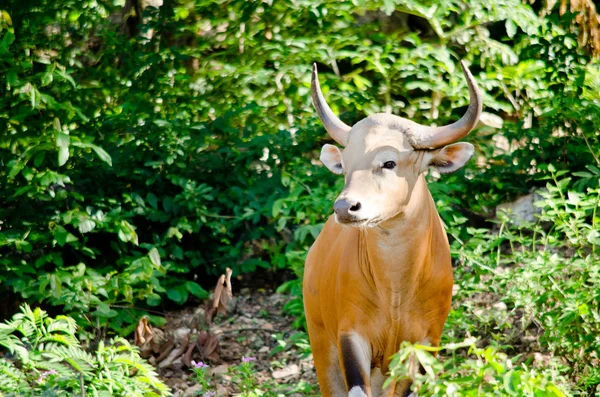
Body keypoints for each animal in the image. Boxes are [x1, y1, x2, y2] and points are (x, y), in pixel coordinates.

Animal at [302, 59, 480, 396]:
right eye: (345, 166)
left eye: (389, 163)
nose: (345, 207)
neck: (396, 292)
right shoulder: (351, 337)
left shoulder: (424, 343)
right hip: (321, 343)